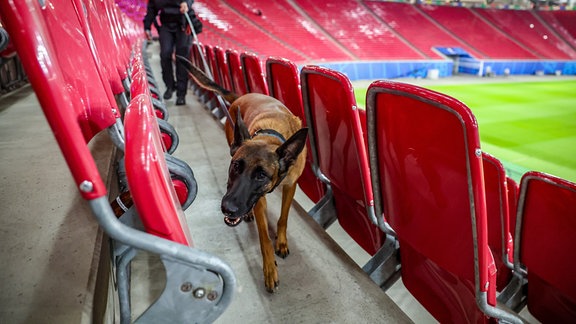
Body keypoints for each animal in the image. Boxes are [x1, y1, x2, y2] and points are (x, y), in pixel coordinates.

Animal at [178, 56, 308, 294]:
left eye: (261, 175)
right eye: (235, 166)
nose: (228, 208)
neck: (270, 136)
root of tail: (241, 96)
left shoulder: (289, 186)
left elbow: (283, 218)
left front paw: (281, 241)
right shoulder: (258, 200)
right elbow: (264, 238)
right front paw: (269, 270)